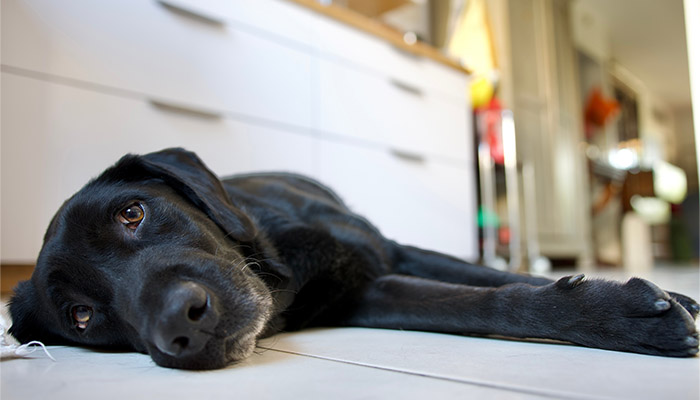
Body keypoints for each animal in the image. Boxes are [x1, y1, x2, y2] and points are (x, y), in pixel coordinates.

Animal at [6, 148, 700, 368]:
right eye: (81, 317)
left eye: (132, 213)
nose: (181, 324)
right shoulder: (375, 292)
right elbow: (481, 304)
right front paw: (621, 314)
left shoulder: (387, 250)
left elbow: (494, 278)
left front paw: (652, 299)